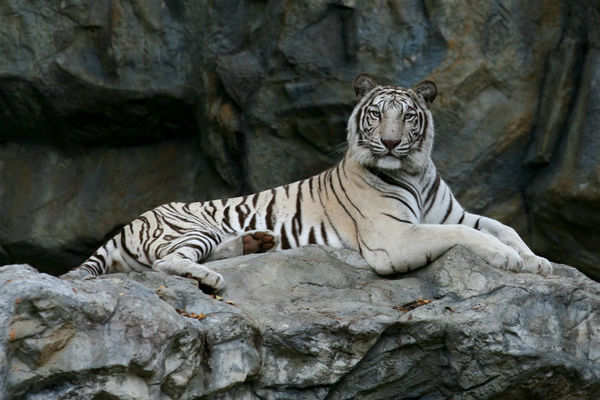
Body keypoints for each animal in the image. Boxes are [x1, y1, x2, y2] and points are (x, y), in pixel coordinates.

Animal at [62, 73, 552, 290]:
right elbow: (464, 236)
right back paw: (212, 277)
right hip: (192, 227)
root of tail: (129, 223)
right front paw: (509, 259)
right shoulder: (392, 238)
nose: (391, 143)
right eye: (377, 114)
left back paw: (255, 243)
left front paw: (538, 261)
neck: (414, 170)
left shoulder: (456, 213)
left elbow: (502, 227)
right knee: (166, 264)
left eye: (408, 117)